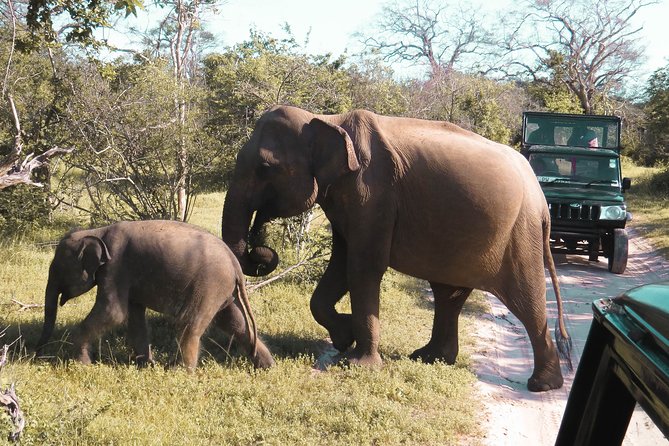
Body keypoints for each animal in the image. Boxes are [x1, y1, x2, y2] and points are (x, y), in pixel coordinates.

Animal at [35, 220, 274, 370]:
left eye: (57, 269)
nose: (36, 353)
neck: (97, 231)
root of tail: (235, 264)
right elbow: (133, 317)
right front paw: (144, 365)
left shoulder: (115, 268)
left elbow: (113, 312)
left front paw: (81, 364)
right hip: (222, 290)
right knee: (234, 323)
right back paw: (266, 366)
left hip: (209, 285)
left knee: (189, 324)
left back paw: (179, 371)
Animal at [221, 105, 571, 391]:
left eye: (265, 168)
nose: (262, 250)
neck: (326, 119)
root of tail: (541, 201)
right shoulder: (349, 198)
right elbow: (341, 264)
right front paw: (344, 336)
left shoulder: (372, 193)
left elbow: (362, 267)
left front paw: (358, 364)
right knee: (449, 295)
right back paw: (429, 358)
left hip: (520, 234)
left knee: (526, 301)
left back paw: (542, 385)